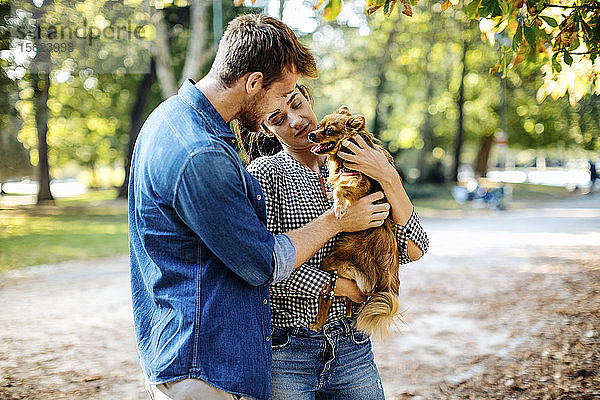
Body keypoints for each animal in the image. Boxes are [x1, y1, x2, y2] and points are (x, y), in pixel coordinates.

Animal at [308, 106, 400, 338]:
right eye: (318, 126)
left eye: (329, 131)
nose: (311, 134)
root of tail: (387, 274)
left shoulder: (360, 184)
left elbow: (340, 188)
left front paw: (339, 207)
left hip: (332, 261)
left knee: (328, 294)